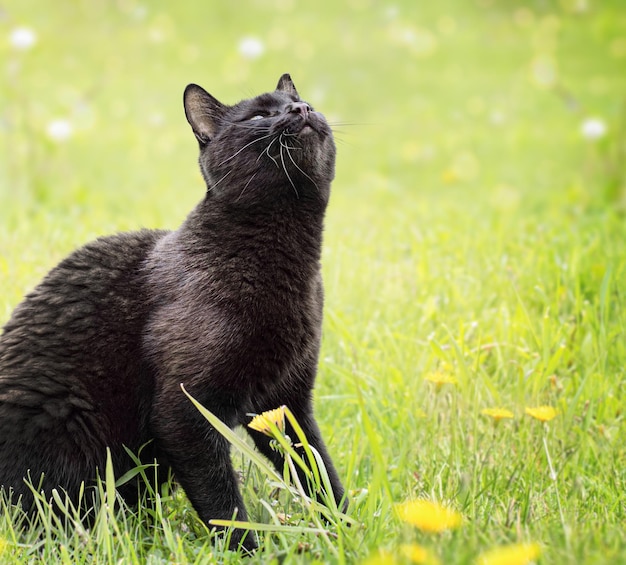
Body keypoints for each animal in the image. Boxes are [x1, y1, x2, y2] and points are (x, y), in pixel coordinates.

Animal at [0, 72, 344, 548]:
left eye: (305, 101)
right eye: (259, 115)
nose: (301, 109)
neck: (287, 258)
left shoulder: (287, 401)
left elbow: (318, 471)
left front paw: (349, 531)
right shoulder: (184, 410)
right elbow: (223, 505)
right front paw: (249, 553)